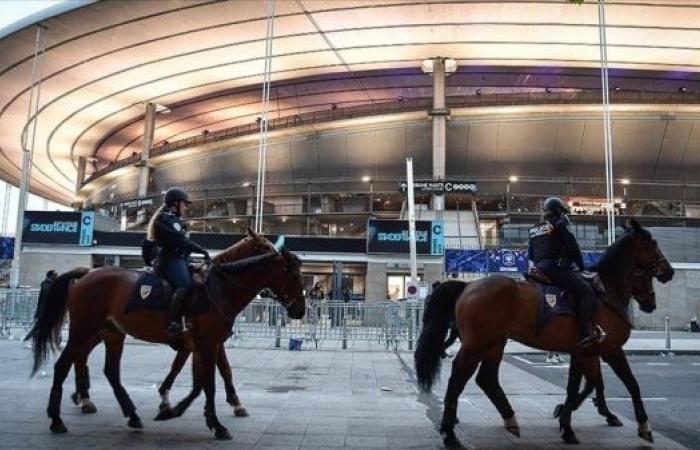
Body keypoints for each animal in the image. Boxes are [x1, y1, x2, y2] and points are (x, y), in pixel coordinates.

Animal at [30, 232, 304, 440]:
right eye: (292, 273)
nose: (300, 310)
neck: (218, 289)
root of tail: (86, 274)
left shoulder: (203, 345)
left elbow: (204, 378)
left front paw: (177, 407)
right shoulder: (205, 344)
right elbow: (209, 382)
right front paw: (216, 421)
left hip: (110, 334)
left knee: (106, 370)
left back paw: (122, 412)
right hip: (83, 330)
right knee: (65, 365)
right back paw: (59, 417)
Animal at [416, 218, 672, 446]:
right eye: (652, 244)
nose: (669, 272)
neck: (606, 290)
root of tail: (468, 286)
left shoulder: (585, 352)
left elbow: (578, 385)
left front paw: (567, 422)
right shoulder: (611, 349)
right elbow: (631, 384)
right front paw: (644, 426)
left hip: (495, 343)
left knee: (487, 379)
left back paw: (509, 419)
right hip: (476, 344)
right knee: (458, 378)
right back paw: (450, 433)